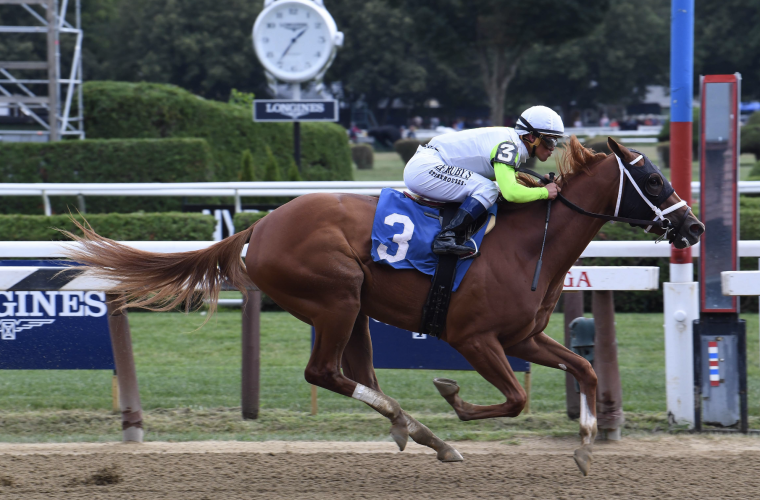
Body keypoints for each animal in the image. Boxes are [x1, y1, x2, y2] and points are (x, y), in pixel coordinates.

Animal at [63, 137, 704, 476]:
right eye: (651, 177)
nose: (694, 227)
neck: (527, 243)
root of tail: (258, 226)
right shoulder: (474, 338)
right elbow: (514, 399)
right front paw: (452, 395)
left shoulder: (521, 337)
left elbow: (586, 368)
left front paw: (587, 445)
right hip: (336, 296)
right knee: (324, 372)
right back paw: (424, 432)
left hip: (353, 311)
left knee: (357, 373)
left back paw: (415, 431)